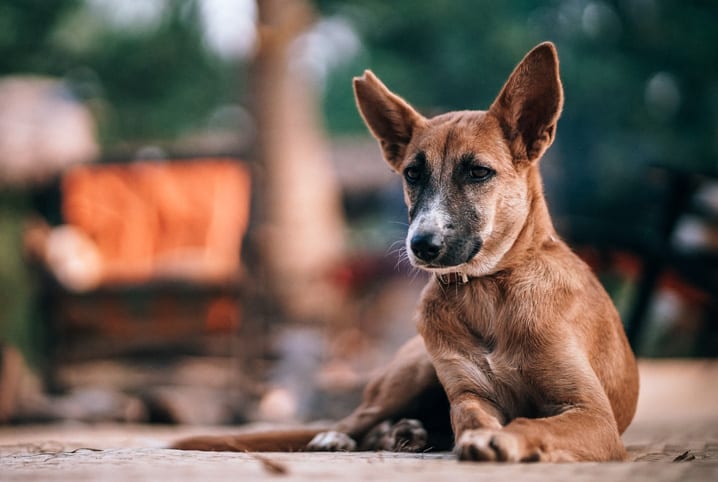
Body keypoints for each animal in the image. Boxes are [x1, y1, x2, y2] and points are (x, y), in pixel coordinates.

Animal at [174, 43, 640, 462]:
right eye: (413, 174)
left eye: (478, 172)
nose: (421, 245)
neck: (488, 291)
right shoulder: (468, 394)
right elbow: (470, 417)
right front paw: (480, 435)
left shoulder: (592, 414)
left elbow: (532, 422)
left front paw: (503, 439)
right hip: (413, 372)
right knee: (356, 418)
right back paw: (347, 437)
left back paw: (404, 434)